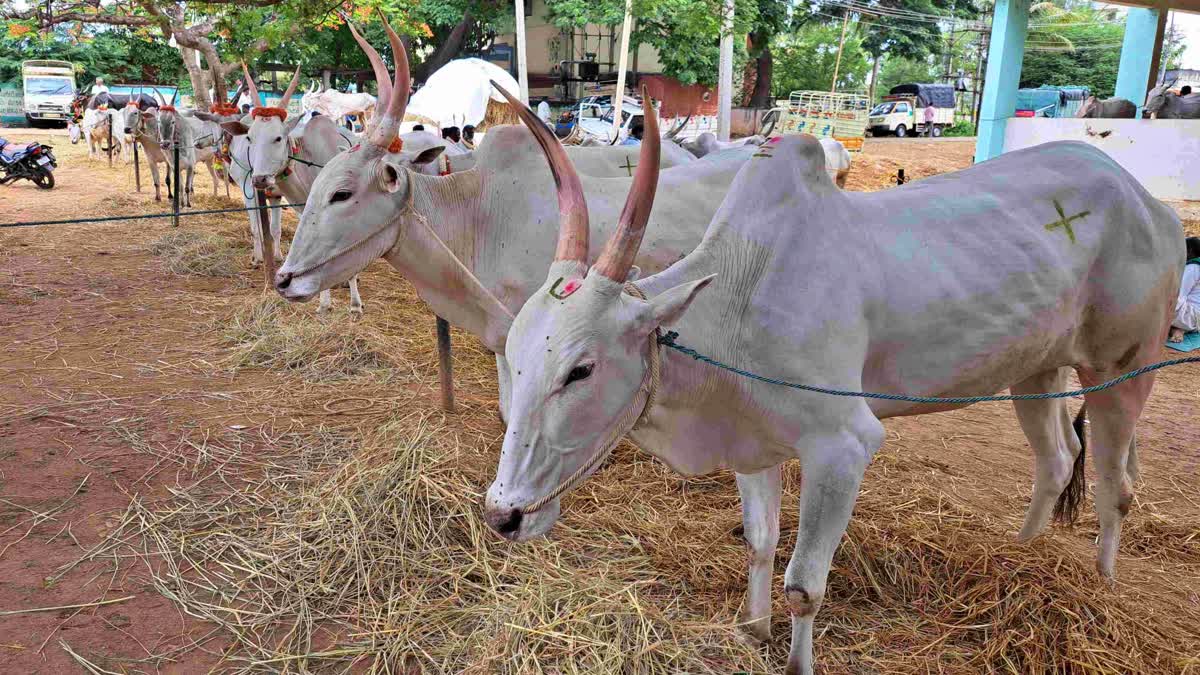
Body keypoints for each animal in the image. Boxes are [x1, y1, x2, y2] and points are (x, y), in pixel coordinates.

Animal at [484, 105, 1180, 672]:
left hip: (1123, 372)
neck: (735, 302)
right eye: (514, 359)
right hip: (1034, 371)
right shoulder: (753, 444)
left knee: (1116, 485)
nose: (503, 515)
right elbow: (761, 544)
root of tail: (1152, 205)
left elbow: (804, 585)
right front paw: (751, 629)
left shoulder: (843, 447)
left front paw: (795, 661)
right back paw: (1024, 551)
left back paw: (1104, 583)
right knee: (1058, 459)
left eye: (581, 369)